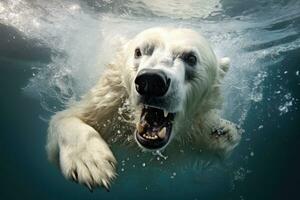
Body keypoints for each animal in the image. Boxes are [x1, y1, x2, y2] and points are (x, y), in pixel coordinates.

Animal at [45, 26, 241, 191]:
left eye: (191, 58)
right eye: (139, 51)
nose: (152, 81)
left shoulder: (195, 130)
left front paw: (223, 132)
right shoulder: (107, 108)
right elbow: (65, 118)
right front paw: (90, 162)